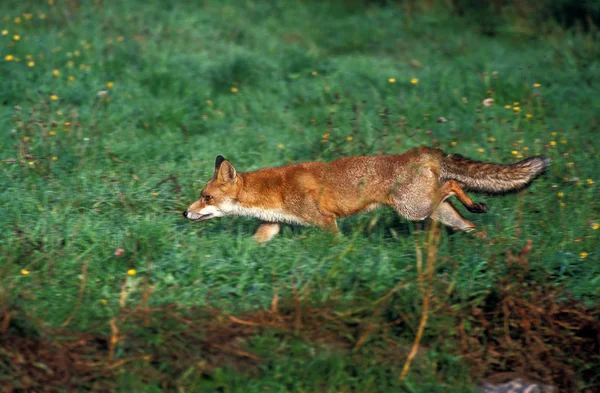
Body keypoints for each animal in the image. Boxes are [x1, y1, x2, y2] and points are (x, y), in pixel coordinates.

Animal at [183, 148, 548, 242]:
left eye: (206, 197)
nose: (184, 214)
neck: (272, 192)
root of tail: (424, 151)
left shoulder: (325, 221)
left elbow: (336, 244)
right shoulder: (272, 225)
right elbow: (254, 245)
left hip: (413, 209)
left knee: (452, 186)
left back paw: (475, 204)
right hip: (435, 212)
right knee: (469, 224)